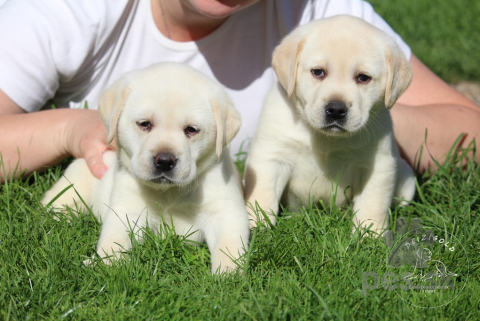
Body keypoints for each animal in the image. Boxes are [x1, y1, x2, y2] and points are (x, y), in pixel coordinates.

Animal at [41, 62, 249, 272]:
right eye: (144, 124)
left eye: (191, 129)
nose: (164, 160)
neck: (169, 193)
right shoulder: (127, 209)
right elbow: (113, 240)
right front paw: (105, 264)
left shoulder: (226, 211)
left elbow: (229, 245)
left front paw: (228, 273)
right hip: (73, 182)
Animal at [246, 15, 414, 232]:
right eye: (318, 72)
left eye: (363, 77)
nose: (335, 109)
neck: (326, 139)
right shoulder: (271, 156)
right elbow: (262, 195)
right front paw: (257, 227)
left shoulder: (378, 166)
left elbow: (372, 205)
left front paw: (370, 235)